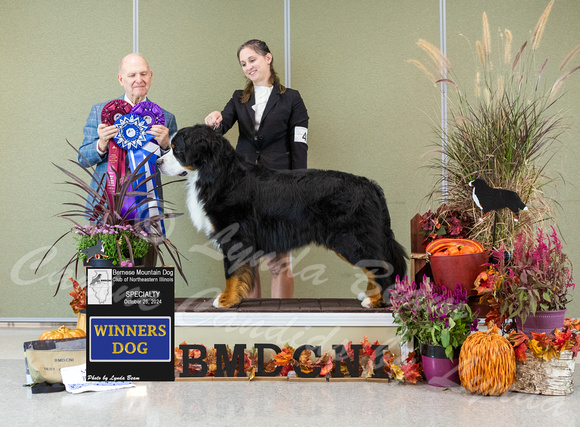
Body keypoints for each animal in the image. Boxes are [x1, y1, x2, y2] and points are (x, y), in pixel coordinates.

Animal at [156, 125, 406, 310]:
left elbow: (231, 272)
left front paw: (226, 299)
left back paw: (375, 301)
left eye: (177, 150)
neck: (219, 174)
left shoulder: (234, 235)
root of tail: (370, 185)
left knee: (381, 266)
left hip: (352, 239)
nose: (157, 162)